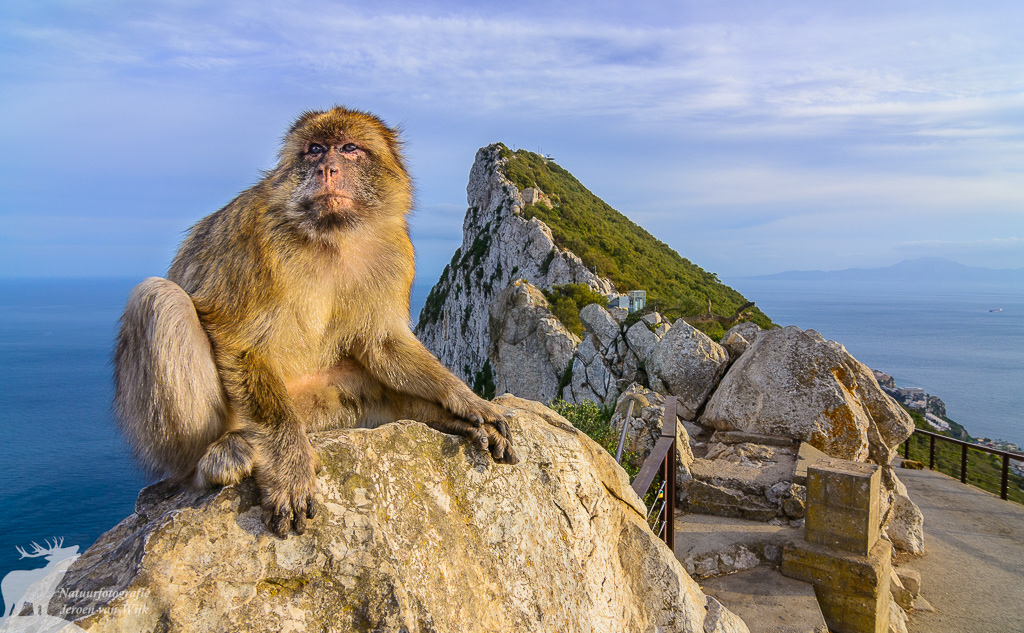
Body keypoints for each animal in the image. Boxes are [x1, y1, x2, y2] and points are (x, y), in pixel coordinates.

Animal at [114, 106, 517, 539]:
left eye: (350, 148)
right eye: (314, 149)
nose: (327, 168)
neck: (332, 235)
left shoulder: (395, 248)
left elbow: (382, 343)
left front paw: (464, 400)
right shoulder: (256, 238)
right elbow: (242, 342)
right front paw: (290, 468)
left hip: (311, 403)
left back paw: (439, 417)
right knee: (160, 299)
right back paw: (213, 461)